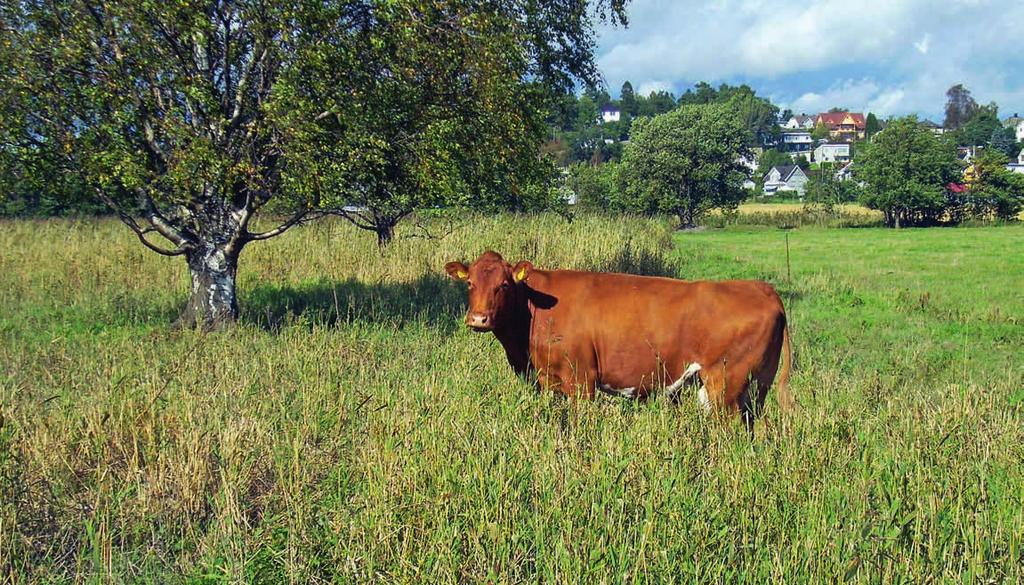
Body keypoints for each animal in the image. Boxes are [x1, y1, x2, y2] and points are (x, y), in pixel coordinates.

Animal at [444, 249, 794, 432]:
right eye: (470, 283)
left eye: (503, 284)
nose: (478, 319)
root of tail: (763, 288)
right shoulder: (545, 380)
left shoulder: (582, 378)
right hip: (753, 387)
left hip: (725, 383)